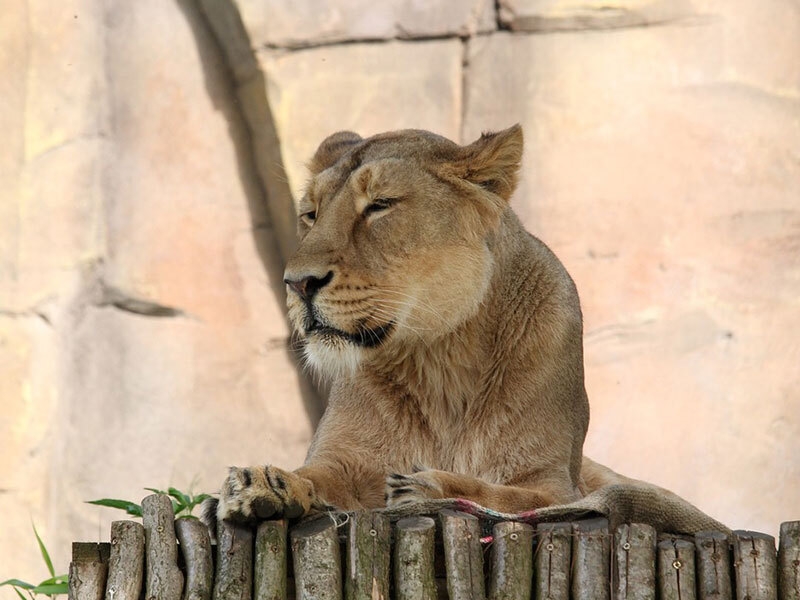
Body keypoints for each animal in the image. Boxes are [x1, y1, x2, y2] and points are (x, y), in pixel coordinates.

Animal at [204, 125, 725, 534]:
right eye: (310, 213)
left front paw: (426, 485)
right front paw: (262, 484)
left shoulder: (554, 484)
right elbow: (317, 476)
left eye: (380, 205)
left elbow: (507, 497)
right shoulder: (345, 460)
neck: (439, 356)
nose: (297, 283)